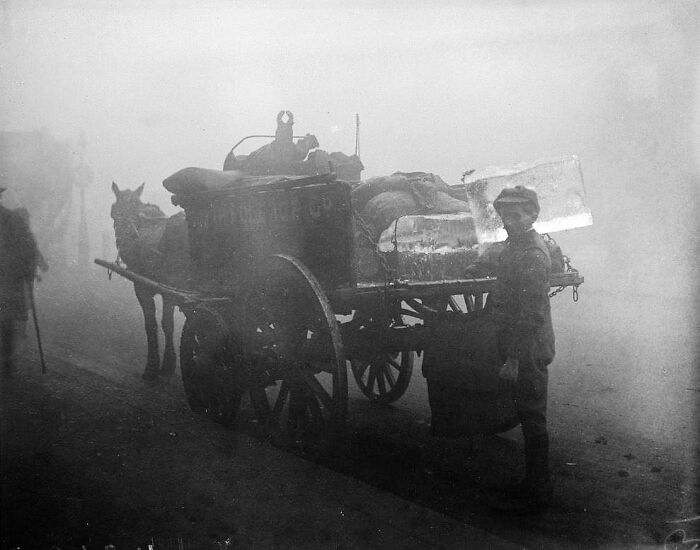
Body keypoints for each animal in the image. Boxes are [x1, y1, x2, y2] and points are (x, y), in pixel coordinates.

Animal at [110, 183, 190, 382]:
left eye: (113, 210)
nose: (124, 236)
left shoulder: (144, 287)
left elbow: (154, 324)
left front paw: (154, 366)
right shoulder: (167, 291)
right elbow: (167, 325)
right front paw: (167, 364)